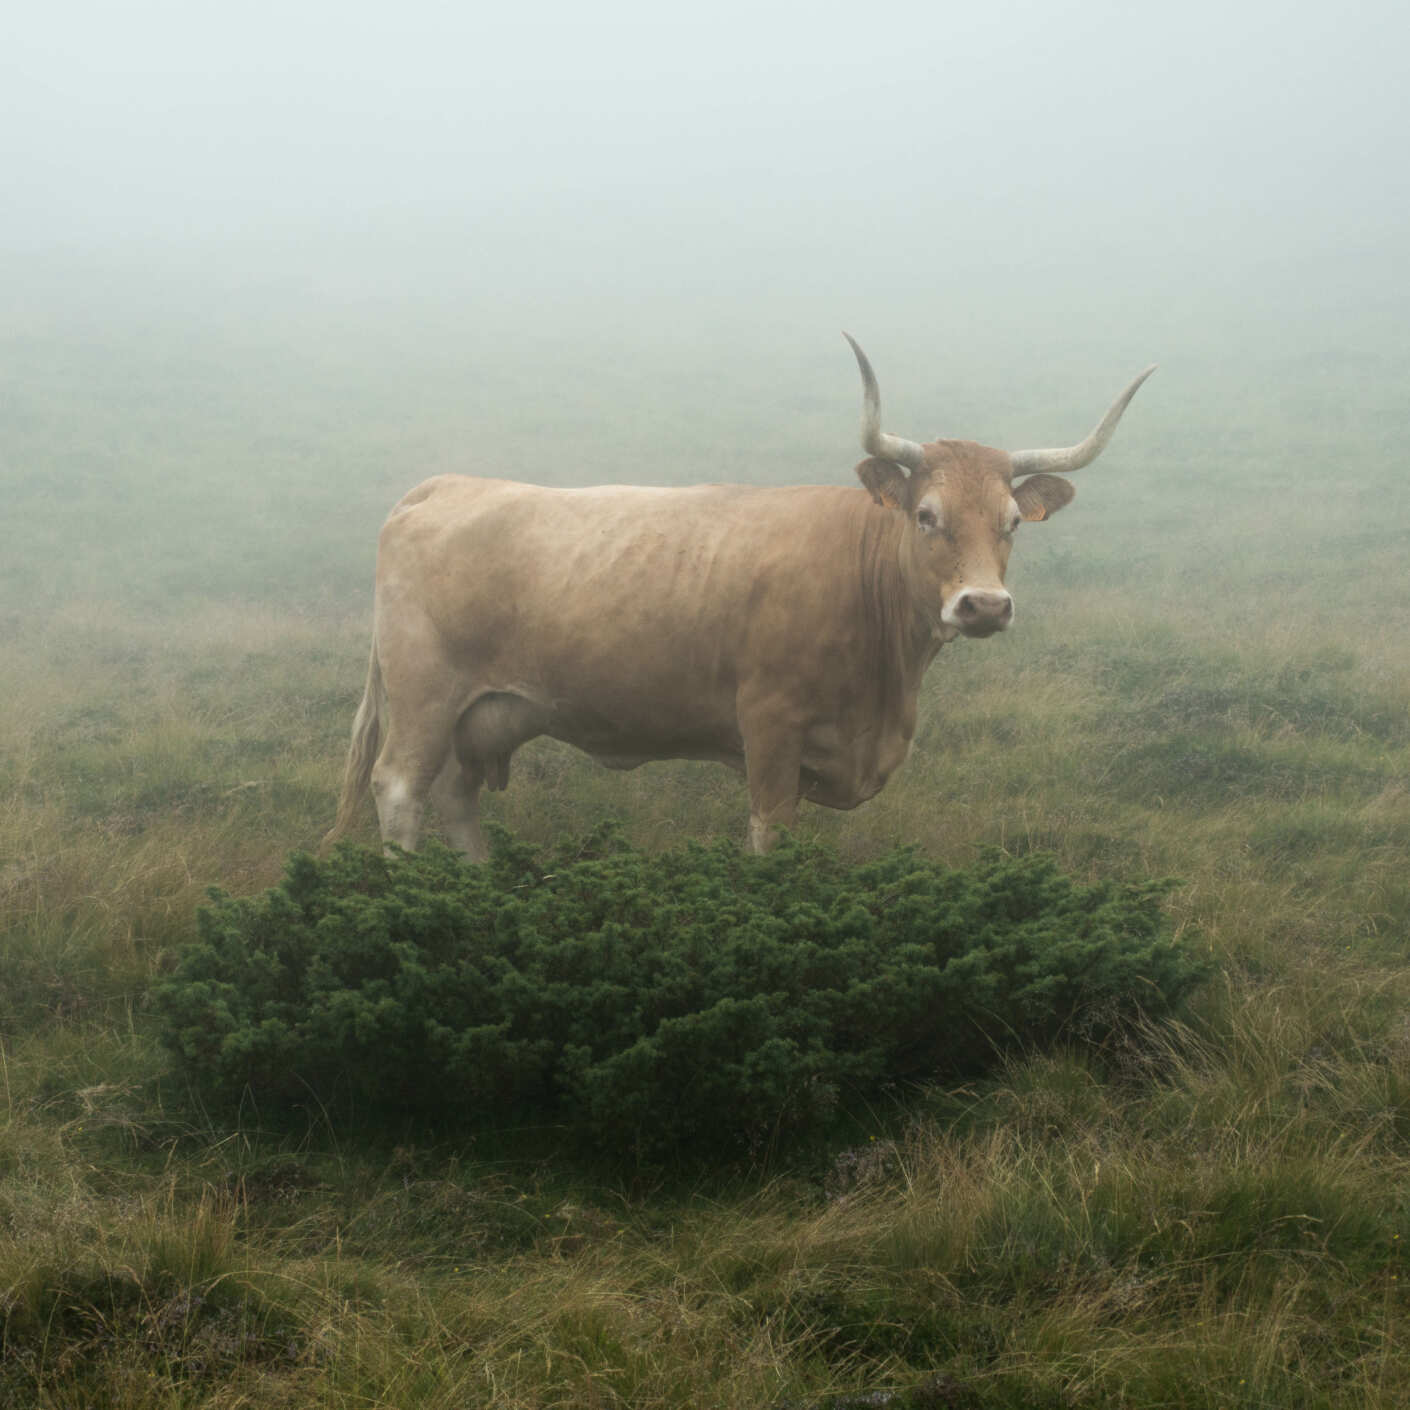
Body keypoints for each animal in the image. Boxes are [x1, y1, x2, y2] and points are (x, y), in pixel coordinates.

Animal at [324, 338, 1150, 857]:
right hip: (426, 693)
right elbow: (769, 836)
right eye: (926, 515)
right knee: (400, 790)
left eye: (1011, 523)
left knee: (456, 797)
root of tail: (445, 485)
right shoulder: (770, 727)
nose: (983, 605)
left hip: (484, 711)